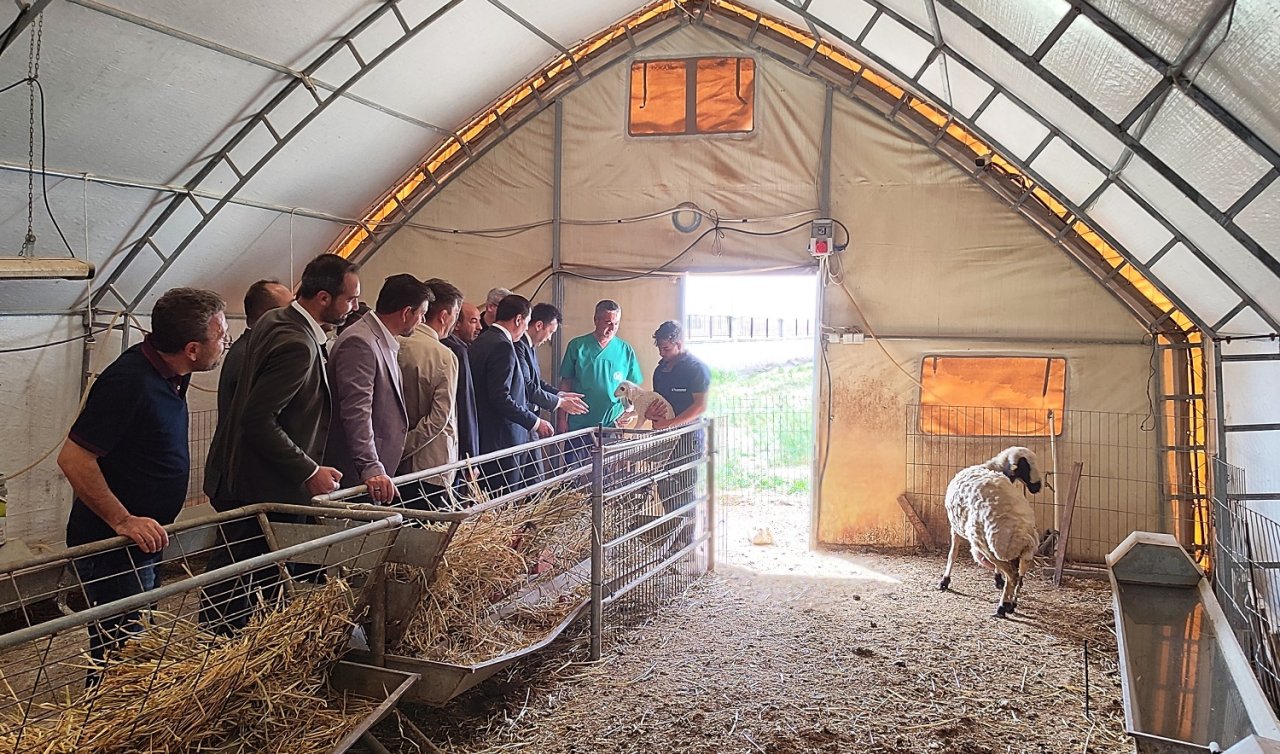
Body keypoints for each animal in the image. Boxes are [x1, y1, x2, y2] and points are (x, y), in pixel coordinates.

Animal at [936, 442, 1044, 614]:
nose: (1038, 486)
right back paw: (1012, 603)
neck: (990, 467)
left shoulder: (955, 527)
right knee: (1019, 576)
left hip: (989, 545)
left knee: (1012, 575)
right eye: (1025, 466)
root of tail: (1023, 535)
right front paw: (998, 579)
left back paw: (1002, 607)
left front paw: (944, 580)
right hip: (1021, 553)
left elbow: (952, 553)